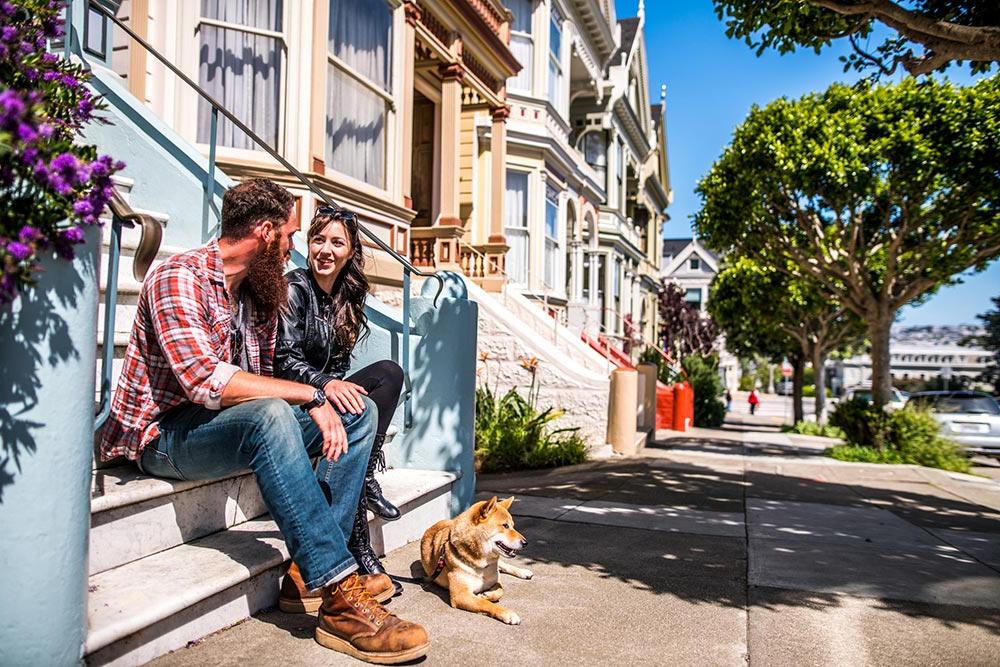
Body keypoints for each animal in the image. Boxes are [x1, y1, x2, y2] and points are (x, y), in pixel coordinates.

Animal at [420, 496, 536, 628]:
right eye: (505, 526)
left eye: (512, 526)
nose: (526, 543)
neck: (482, 565)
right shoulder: (461, 595)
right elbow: (486, 603)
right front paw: (507, 613)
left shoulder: (495, 578)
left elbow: (501, 590)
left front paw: (487, 595)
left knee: (504, 565)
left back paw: (524, 572)